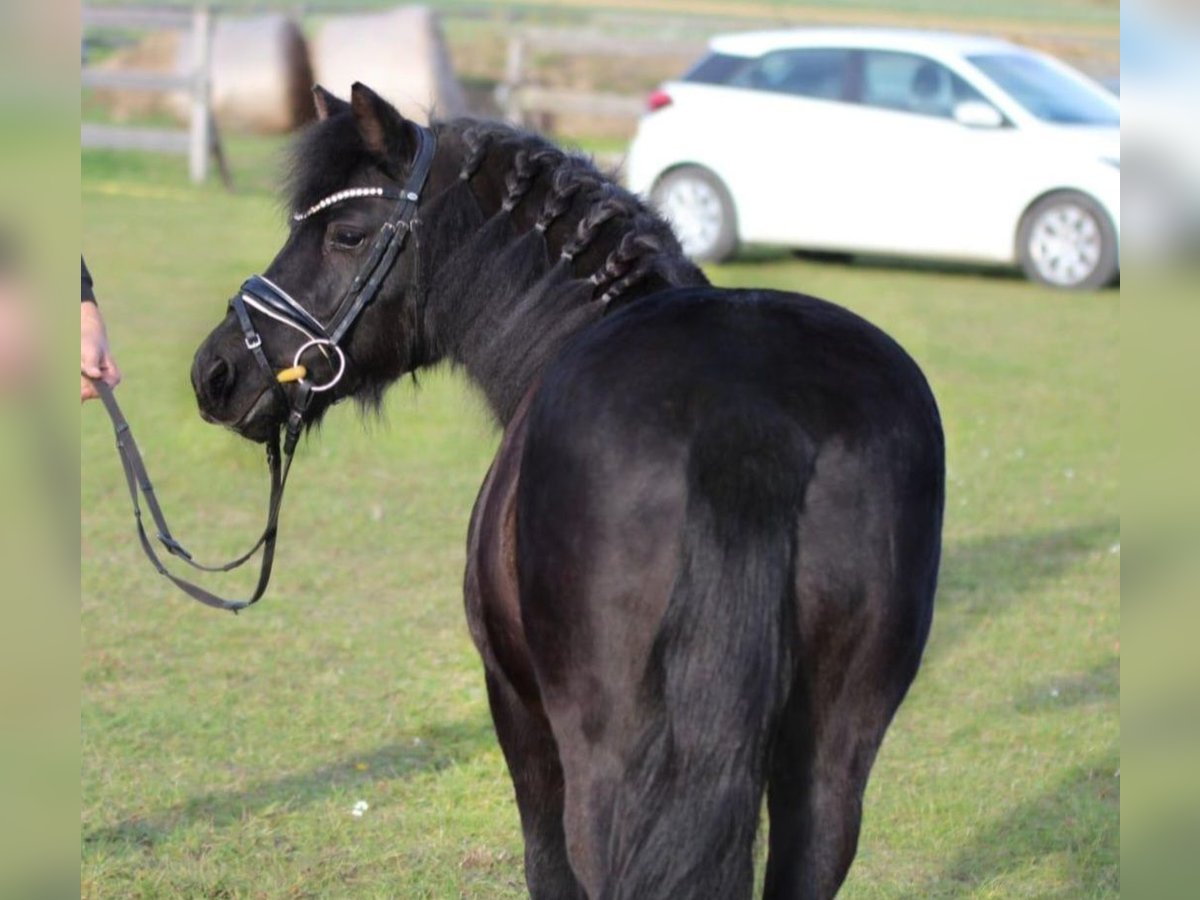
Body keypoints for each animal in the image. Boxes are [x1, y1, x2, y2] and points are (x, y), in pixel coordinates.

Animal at [191, 82, 944, 900]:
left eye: (347, 235)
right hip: (833, 754)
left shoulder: (516, 704)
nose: (217, 370)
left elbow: (547, 862)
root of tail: (748, 410)